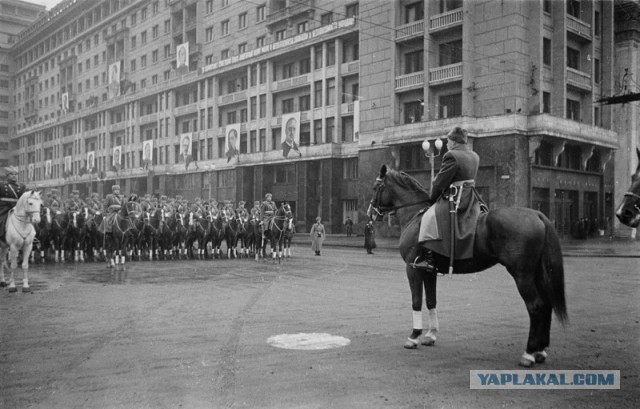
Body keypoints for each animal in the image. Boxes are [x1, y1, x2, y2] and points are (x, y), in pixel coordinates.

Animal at [368, 166, 568, 366]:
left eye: (376, 187)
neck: (415, 215)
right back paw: (540, 351)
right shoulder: (429, 272)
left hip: (522, 276)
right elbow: (431, 301)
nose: (370, 213)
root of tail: (538, 214)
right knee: (546, 305)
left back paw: (529, 353)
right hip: (538, 274)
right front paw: (431, 335)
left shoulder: (413, 269)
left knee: (536, 306)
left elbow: (416, 301)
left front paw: (414, 336)